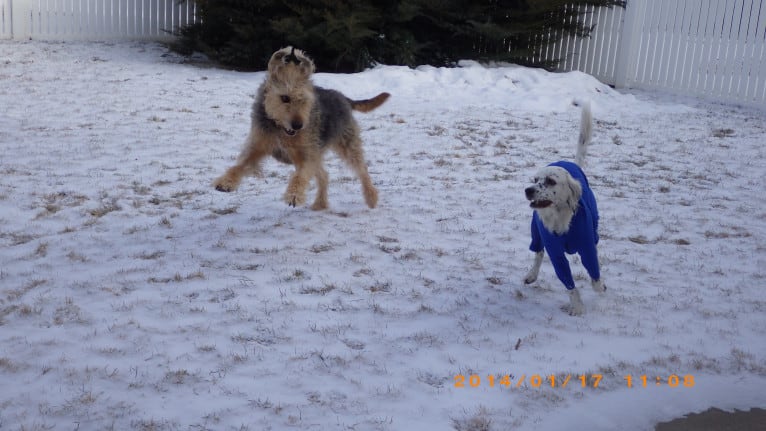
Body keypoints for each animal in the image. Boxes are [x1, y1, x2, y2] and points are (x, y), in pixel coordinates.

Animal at [524, 102, 608, 316]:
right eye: (535, 180)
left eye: (550, 181)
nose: (528, 190)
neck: (559, 218)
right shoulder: (555, 252)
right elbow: (568, 283)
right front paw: (577, 306)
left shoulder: (587, 247)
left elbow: (594, 274)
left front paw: (600, 286)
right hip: (535, 233)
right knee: (538, 253)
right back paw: (531, 274)